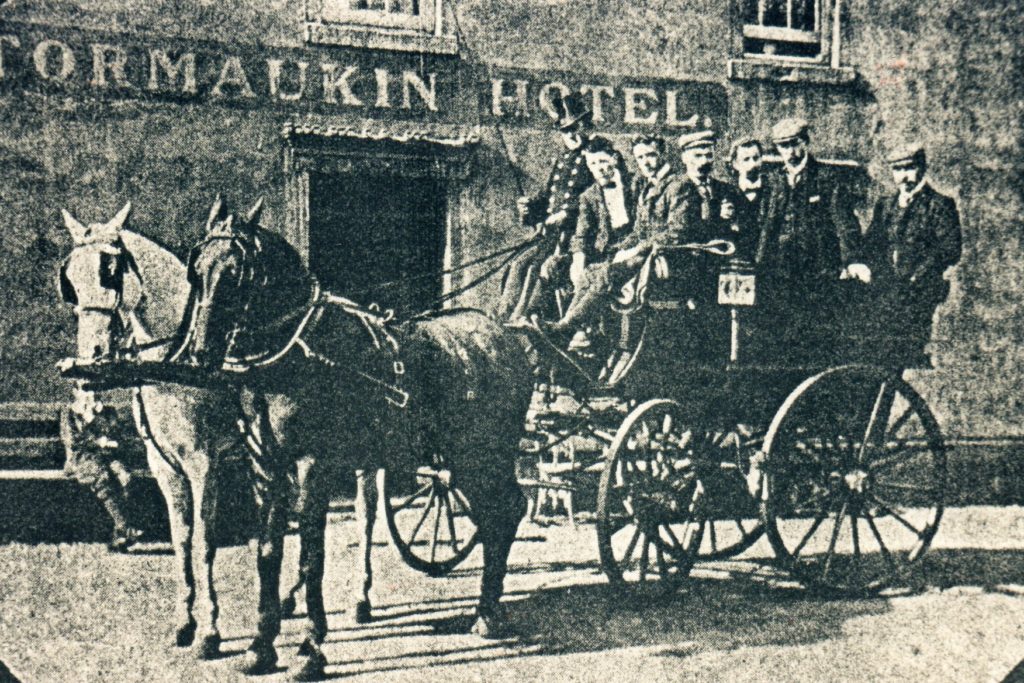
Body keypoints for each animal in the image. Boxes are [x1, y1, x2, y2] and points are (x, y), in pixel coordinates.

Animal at [169, 197, 528, 679]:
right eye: (197, 268)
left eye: (237, 272)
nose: (200, 352)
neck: (298, 353)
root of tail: (504, 336)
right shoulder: (266, 467)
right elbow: (268, 552)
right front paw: (262, 646)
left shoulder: (313, 465)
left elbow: (311, 554)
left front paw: (310, 647)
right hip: (459, 462)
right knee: (497, 515)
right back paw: (489, 607)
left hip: (481, 458)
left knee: (505, 511)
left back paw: (488, 611)